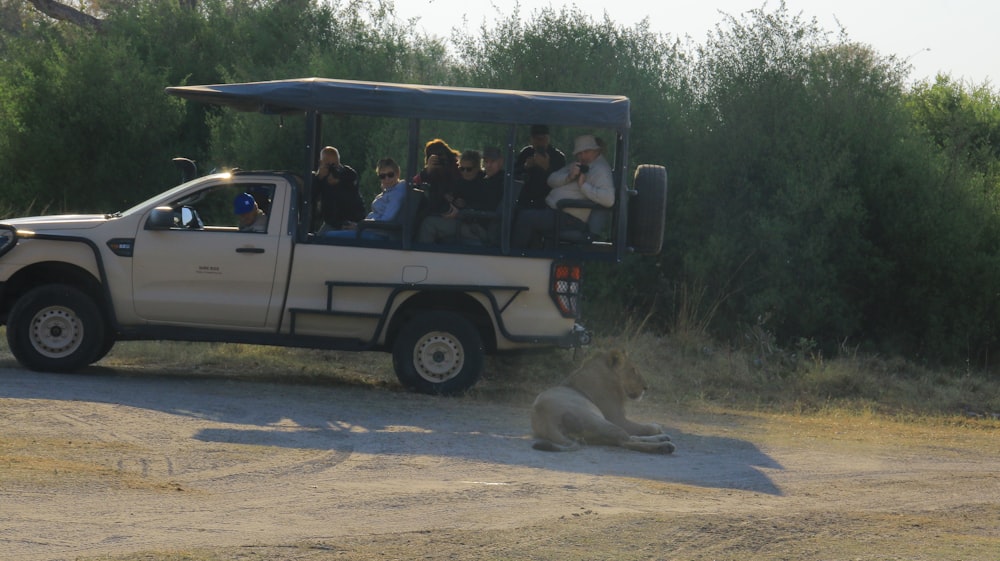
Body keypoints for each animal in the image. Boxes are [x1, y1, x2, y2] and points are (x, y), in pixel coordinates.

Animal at [528, 350, 676, 456]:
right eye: (633, 370)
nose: (646, 387)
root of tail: (547, 423)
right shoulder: (618, 419)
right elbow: (643, 428)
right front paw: (656, 427)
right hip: (599, 420)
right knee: (625, 441)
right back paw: (664, 447)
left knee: (629, 438)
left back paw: (663, 439)